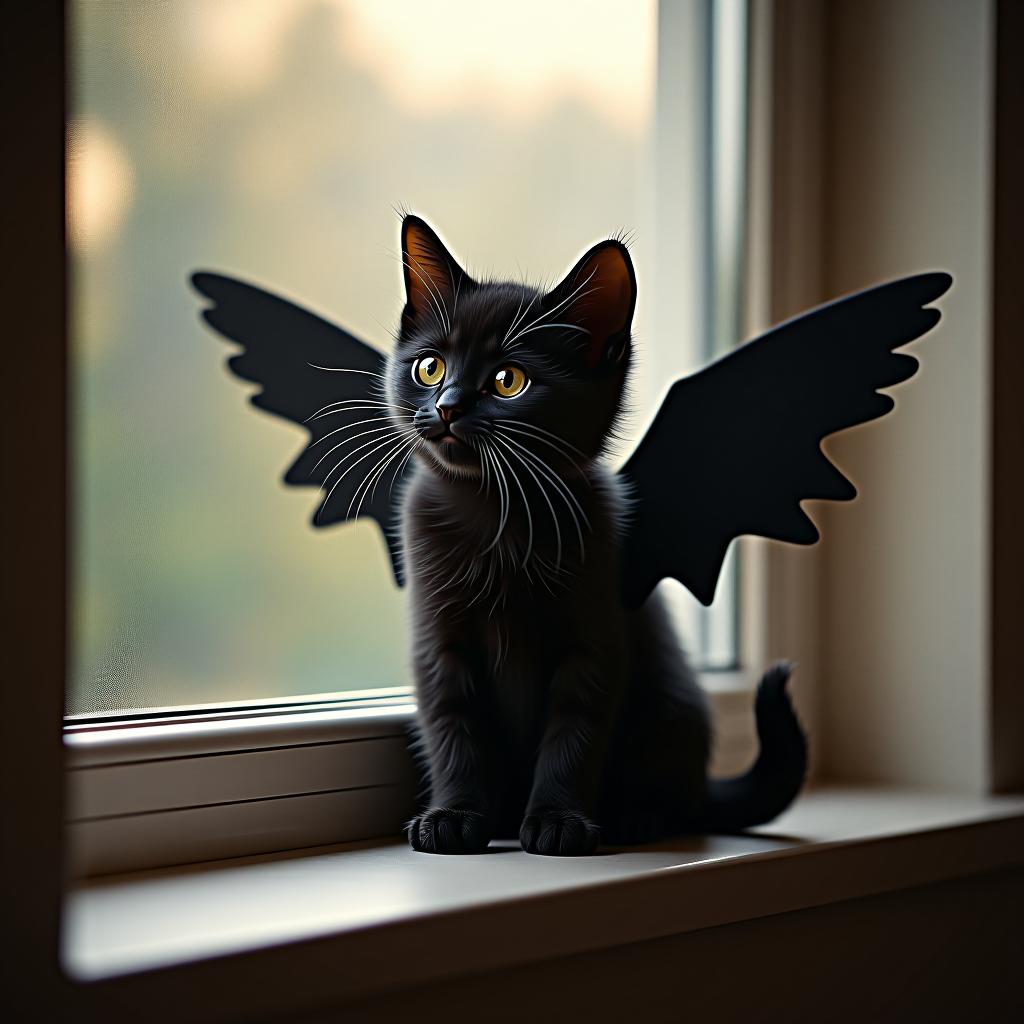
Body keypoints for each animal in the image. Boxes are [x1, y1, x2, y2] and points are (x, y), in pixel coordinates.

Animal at [387, 218, 802, 856]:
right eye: (429, 367)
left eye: (508, 381)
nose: (448, 405)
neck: (498, 514)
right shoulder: (440, 646)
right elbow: (454, 728)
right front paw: (454, 816)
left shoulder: (594, 642)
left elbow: (574, 732)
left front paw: (557, 822)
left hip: (671, 704)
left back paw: (640, 816)